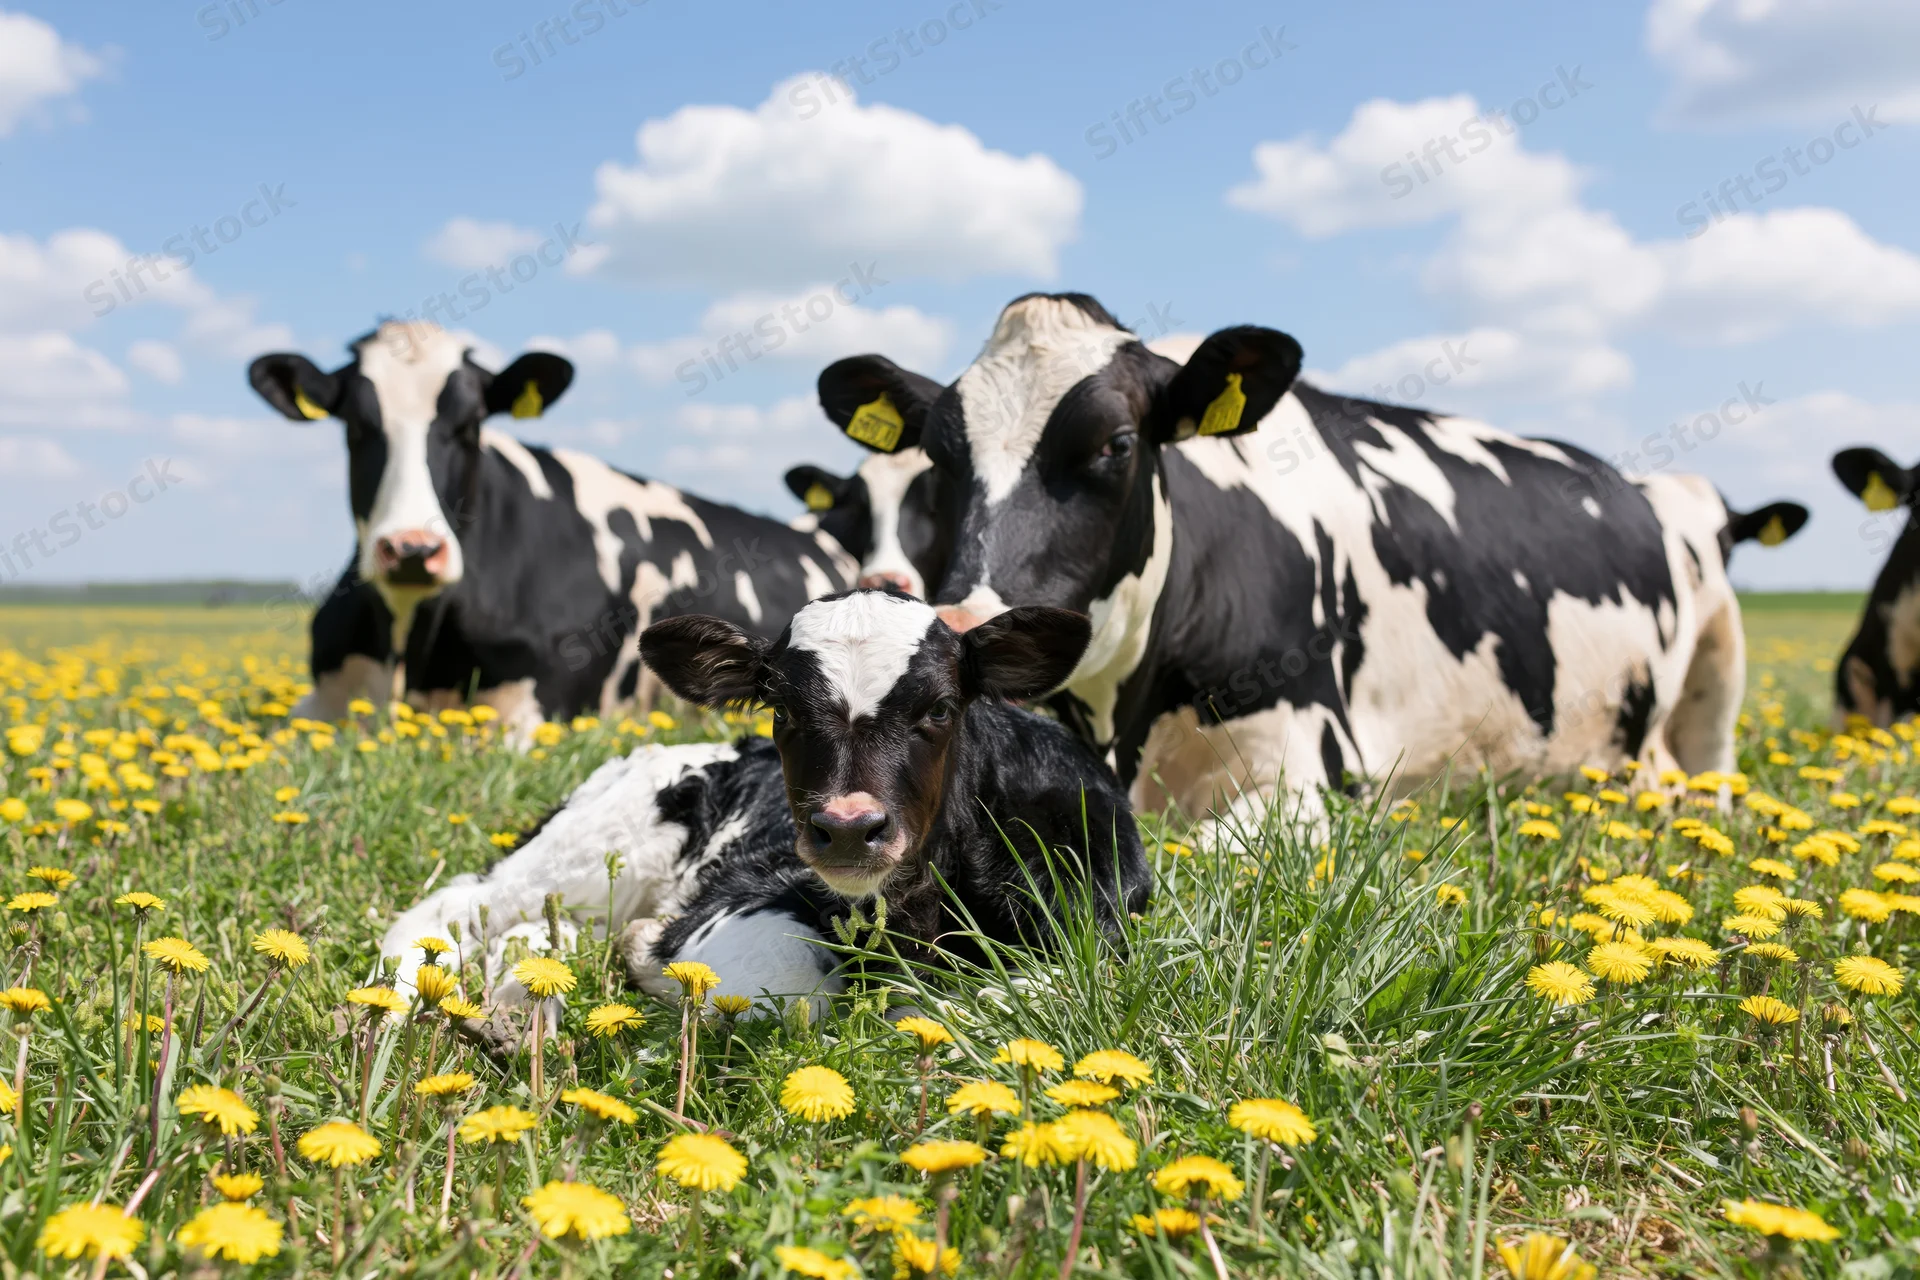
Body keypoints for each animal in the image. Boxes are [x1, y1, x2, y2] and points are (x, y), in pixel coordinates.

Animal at [248, 321, 855, 737]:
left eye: (470, 425)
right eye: (356, 426)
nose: (412, 549)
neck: (409, 647)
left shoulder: (539, 707)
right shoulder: (316, 704)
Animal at [379, 590, 1149, 1014]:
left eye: (940, 707)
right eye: (780, 706)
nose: (848, 828)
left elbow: (1018, 994)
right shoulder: (741, 896)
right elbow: (787, 980)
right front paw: (646, 956)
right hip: (594, 847)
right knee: (453, 904)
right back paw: (400, 1001)